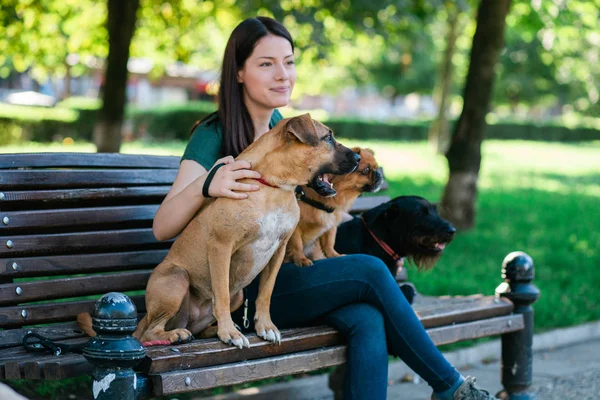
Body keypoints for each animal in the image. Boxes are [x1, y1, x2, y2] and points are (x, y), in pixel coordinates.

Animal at [77, 112, 358, 346]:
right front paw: (229, 333)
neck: (273, 186)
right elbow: (220, 294)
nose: (357, 157)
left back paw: (213, 329)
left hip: (238, 296)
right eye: (328, 137)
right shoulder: (222, 247)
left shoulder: (278, 251)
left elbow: (265, 294)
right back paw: (175, 335)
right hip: (176, 279)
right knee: (149, 333)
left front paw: (265, 326)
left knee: (198, 325)